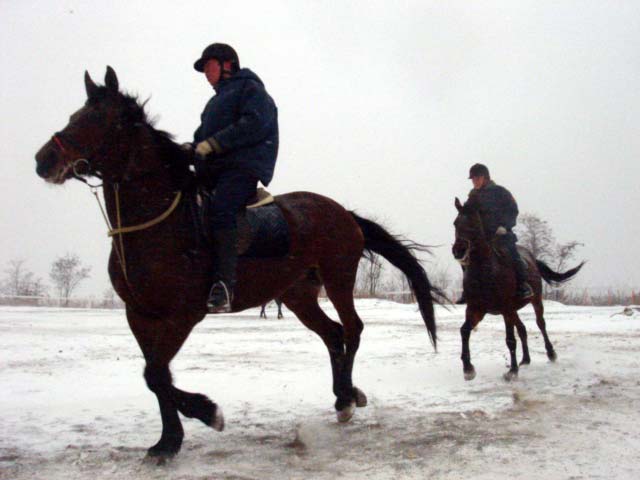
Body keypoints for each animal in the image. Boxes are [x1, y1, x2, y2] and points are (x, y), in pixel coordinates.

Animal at [32, 65, 442, 460]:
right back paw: (344, 395)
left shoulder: (183, 315)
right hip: (298, 295)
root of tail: (344, 213)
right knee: (333, 334)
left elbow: (157, 375)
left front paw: (208, 413)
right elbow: (157, 375)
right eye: (75, 115)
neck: (159, 221)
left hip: (338, 279)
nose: (43, 160)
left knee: (352, 329)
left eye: (103, 119)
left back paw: (346, 398)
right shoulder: (140, 316)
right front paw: (168, 441)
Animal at [450, 197, 584, 380]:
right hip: (514, 310)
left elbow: (510, 339)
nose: (458, 251)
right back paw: (525, 360)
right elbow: (464, 330)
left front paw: (512, 371)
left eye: (473, 223)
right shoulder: (476, 309)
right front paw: (468, 368)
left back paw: (550, 353)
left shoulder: (506, 309)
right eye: (455, 223)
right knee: (522, 329)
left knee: (540, 324)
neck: (485, 272)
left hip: (535, 301)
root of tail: (532, 258)